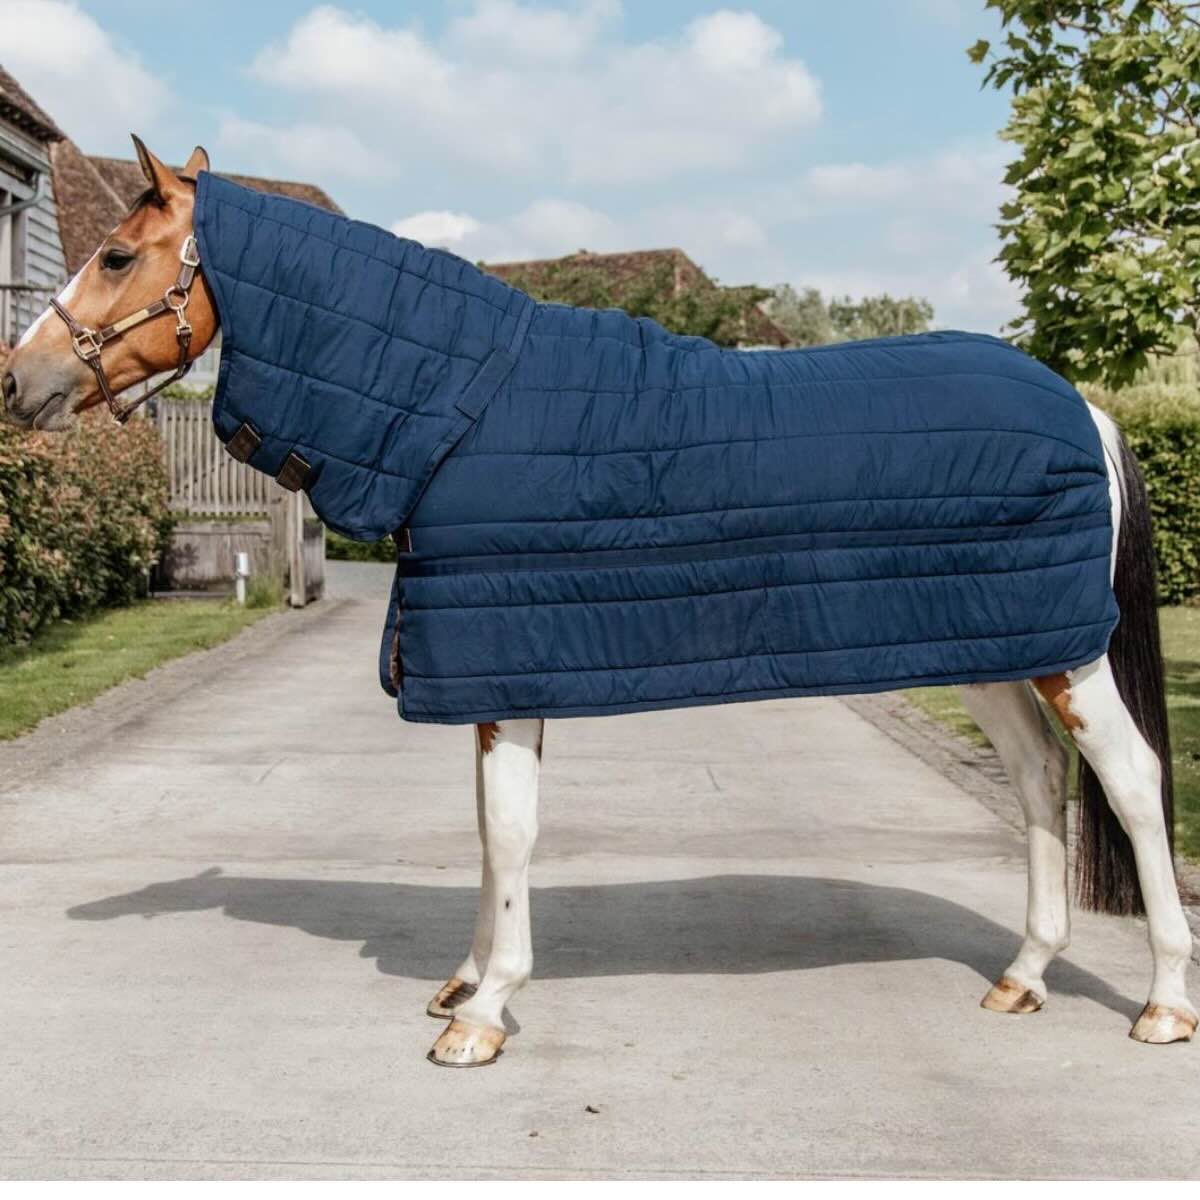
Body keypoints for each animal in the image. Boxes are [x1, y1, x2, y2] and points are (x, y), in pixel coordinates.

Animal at [3, 137, 1194, 1068]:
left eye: (119, 255)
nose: (20, 382)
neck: (459, 409)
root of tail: (1083, 405)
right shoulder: (490, 666)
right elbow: (488, 834)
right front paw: (464, 980)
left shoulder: (504, 662)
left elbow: (512, 831)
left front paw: (483, 1012)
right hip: (991, 641)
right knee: (1041, 778)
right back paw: (1024, 976)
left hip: (1065, 653)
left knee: (1131, 784)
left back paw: (1162, 1004)